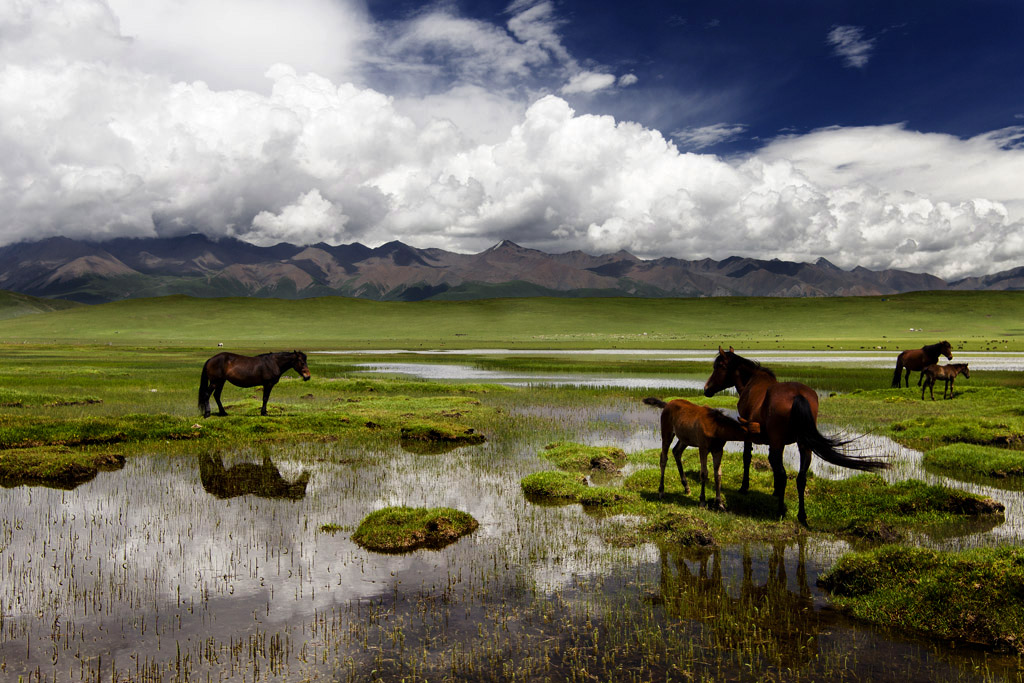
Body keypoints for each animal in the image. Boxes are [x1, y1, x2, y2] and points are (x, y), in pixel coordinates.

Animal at [704, 350, 888, 528]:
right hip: (803, 445)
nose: (706, 389)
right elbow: (772, 462)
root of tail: (798, 395)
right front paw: (775, 491)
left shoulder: (751, 433)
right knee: (801, 478)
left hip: (782, 443)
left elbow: (747, 458)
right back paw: (802, 516)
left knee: (783, 475)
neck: (752, 382)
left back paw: (780, 511)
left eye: (718, 366)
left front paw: (744, 487)